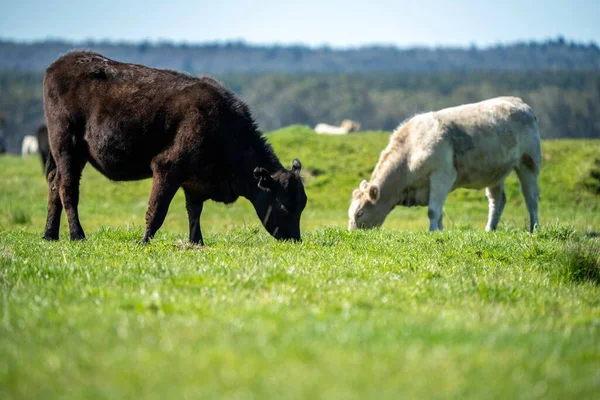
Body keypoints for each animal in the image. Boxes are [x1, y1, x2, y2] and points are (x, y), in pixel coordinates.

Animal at [344, 97, 540, 233]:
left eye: (360, 213)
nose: (352, 234)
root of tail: (519, 103)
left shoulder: (441, 176)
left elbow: (433, 211)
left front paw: (432, 232)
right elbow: (438, 214)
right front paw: (440, 231)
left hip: (528, 161)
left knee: (531, 198)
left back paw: (534, 228)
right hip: (495, 172)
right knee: (497, 201)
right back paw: (489, 229)